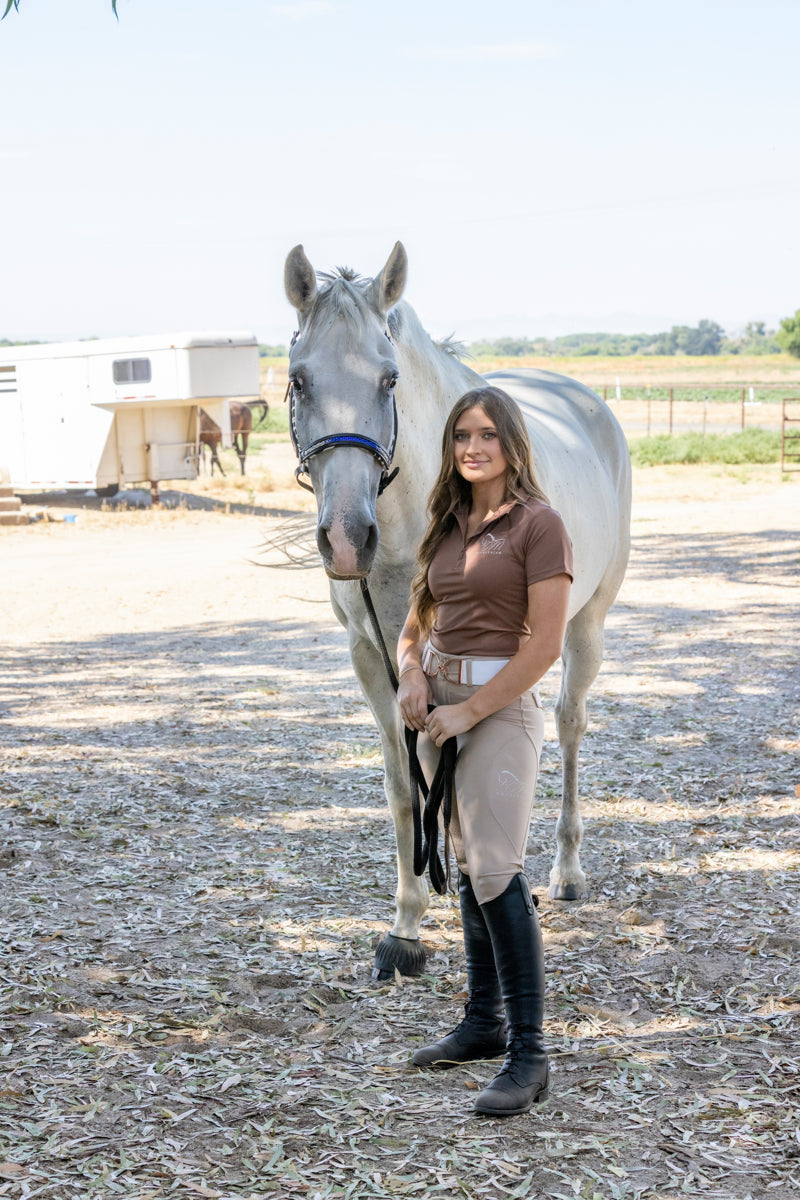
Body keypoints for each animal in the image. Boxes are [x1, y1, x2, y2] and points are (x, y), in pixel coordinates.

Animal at [283, 241, 633, 974]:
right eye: (299, 380)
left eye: (389, 379)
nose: (347, 538)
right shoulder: (375, 658)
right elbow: (405, 784)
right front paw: (408, 923)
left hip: (586, 624)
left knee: (568, 725)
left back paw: (567, 871)